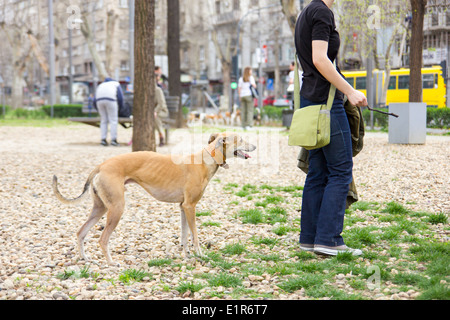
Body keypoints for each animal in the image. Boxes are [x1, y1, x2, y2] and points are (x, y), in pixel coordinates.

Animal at [52, 132, 255, 264]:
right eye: (241, 139)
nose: (254, 146)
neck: (206, 160)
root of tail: (101, 165)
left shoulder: (183, 207)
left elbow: (184, 234)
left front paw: (187, 254)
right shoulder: (190, 206)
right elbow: (195, 235)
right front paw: (200, 255)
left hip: (100, 207)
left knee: (81, 232)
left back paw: (84, 258)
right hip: (116, 208)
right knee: (102, 239)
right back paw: (111, 263)